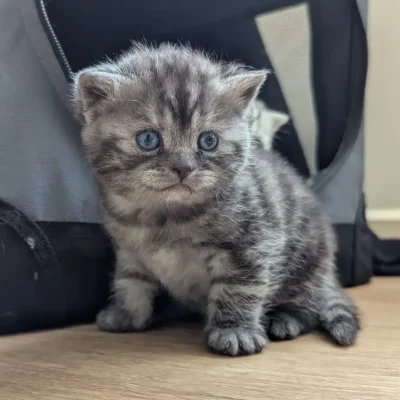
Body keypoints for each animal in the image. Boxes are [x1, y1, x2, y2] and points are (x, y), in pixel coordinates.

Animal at [71, 43, 360, 356]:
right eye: (148, 139)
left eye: (208, 141)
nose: (183, 168)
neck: (162, 216)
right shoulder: (129, 251)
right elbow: (129, 281)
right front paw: (126, 315)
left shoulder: (252, 243)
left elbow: (238, 287)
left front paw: (235, 331)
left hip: (307, 259)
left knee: (307, 303)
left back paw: (287, 320)